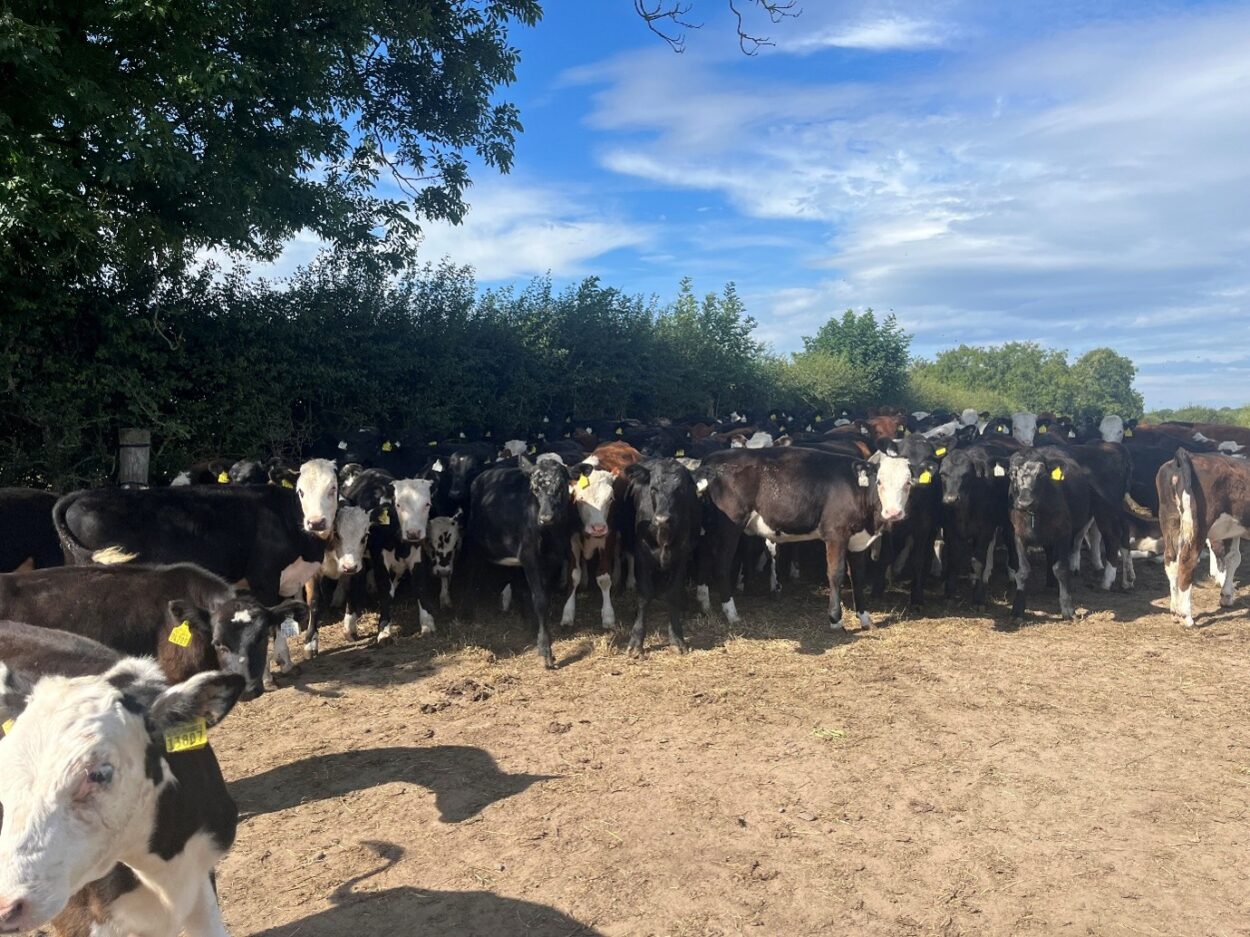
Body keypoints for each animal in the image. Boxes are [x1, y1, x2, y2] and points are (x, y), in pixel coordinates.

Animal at [465, 458, 578, 668]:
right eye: (534, 488)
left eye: (561, 486)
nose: (546, 518)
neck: (549, 533)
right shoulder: (529, 555)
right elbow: (540, 599)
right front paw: (546, 650)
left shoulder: (555, 558)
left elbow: (545, 595)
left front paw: (539, 634)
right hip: (475, 544)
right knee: (472, 574)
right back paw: (469, 613)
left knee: (520, 587)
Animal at [622, 460, 700, 656]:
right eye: (653, 488)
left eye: (680, 489)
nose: (662, 519)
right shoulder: (642, 554)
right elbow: (644, 595)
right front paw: (636, 641)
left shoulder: (682, 555)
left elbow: (672, 593)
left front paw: (677, 638)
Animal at [695, 446, 914, 631]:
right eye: (879, 481)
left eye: (908, 483)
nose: (894, 512)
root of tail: (712, 459)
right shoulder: (836, 534)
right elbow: (836, 574)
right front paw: (835, 620)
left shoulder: (858, 541)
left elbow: (858, 578)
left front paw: (865, 619)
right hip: (730, 526)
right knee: (722, 565)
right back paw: (731, 613)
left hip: (710, 528)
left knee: (704, 558)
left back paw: (705, 604)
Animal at [1157, 450, 1250, 626]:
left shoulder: (1234, 529)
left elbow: (1234, 558)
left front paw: (1226, 595)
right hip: (1198, 524)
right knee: (1187, 560)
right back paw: (1186, 616)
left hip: (1170, 519)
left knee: (1171, 560)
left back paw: (1174, 611)